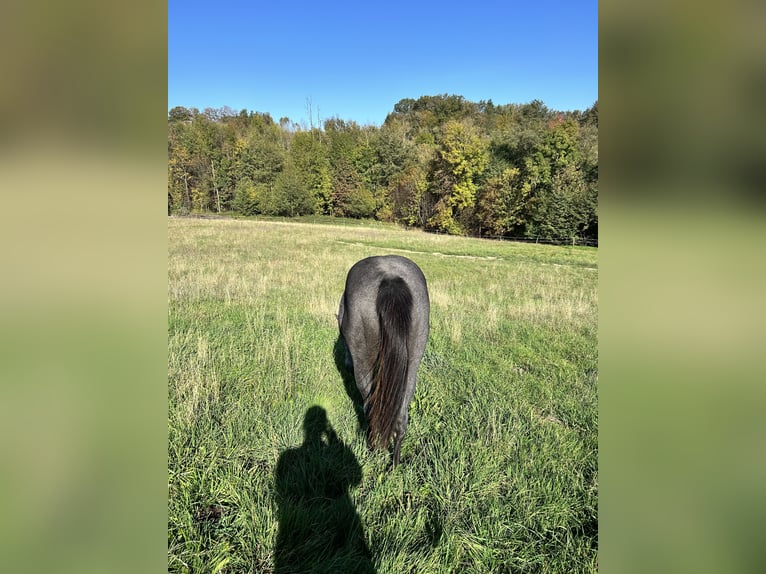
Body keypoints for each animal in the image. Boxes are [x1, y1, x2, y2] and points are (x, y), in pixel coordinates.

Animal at [338, 256, 432, 468]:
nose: (347, 363)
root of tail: (390, 279)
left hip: (364, 365)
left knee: (370, 409)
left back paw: (372, 452)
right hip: (412, 366)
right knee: (401, 419)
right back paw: (394, 465)